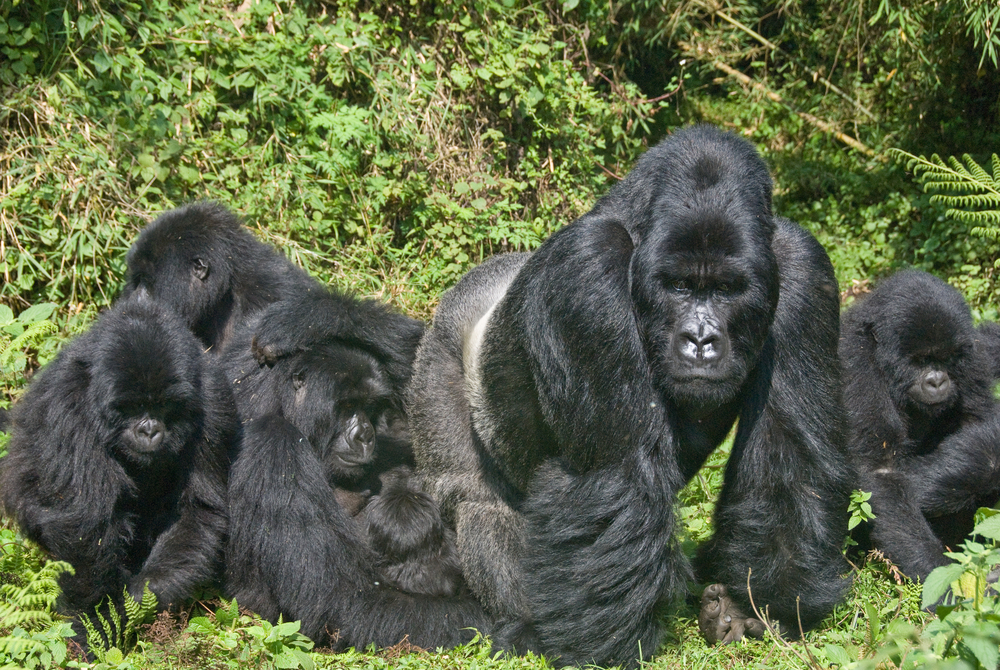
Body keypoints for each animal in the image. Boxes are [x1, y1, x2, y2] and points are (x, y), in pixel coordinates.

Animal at [0, 296, 236, 624]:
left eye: (164, 405)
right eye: (133, 406)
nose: (149, 430)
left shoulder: (214, 402)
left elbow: (197, 510)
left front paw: (140, 596)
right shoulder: (68, 402)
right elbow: (84, 527)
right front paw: (92, 621)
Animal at [406, 124, 852, 668]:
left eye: (727, 289)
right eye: (679, 285)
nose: (700, 340)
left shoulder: (803, 267)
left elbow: (789, 455)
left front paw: (758, 605)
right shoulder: (586, 266)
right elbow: (617, 472)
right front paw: (604, 647)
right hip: (437, 355)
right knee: (475, 498)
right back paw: (526, 624)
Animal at [840, 270, 1000, 580]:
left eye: (947, 357)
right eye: (921, 359)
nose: (937, 381)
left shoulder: (973, 355)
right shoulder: (855, 364)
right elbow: (881, 471)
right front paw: (941, 574)